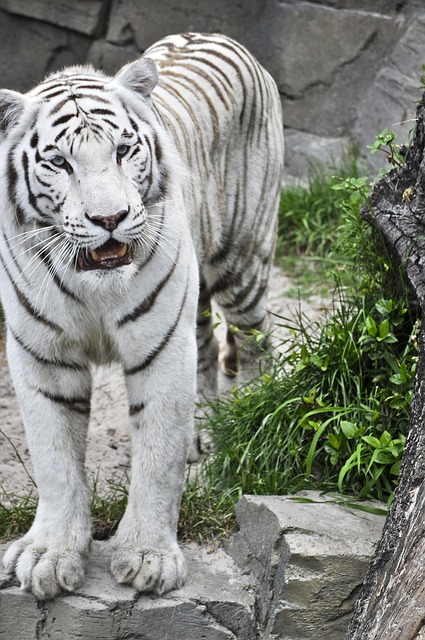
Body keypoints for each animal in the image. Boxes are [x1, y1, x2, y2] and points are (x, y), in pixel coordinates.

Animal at [0, 32, 284, 600]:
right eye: (59, 162)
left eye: (123, 151)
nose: (109, 218)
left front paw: (149, 558)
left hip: (241, 264)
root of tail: (218, 34)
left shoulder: (160, 347)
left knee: (254, 338)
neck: (92, 285)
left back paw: (250, 425)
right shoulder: (42, 356)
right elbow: (55, 461)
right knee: (207, 339)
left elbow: (157, 456)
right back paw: (205, 429)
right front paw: (49, 555)